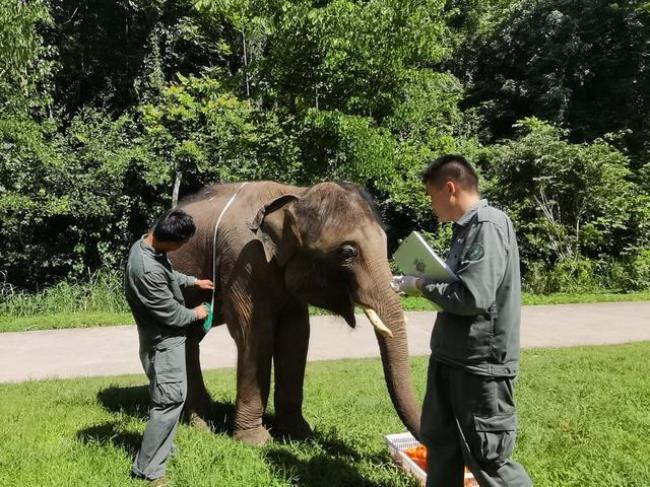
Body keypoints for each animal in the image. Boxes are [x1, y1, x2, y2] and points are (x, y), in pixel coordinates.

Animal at [167, 180, 420, 446]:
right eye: (348, 252)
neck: (296, 195)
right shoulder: (243, 260)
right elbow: (256, 334)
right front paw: (257, 442)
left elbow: (296, 335)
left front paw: (300, 435)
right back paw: (202, 424)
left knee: (188, 340)